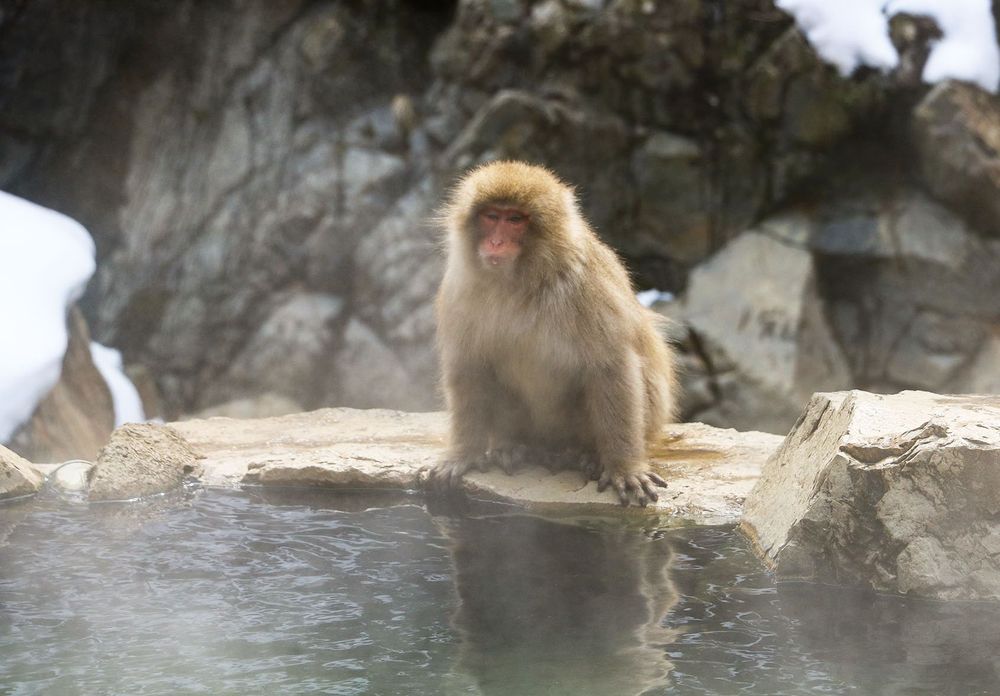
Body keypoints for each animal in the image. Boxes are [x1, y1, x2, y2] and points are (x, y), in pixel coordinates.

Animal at [428, 160, 678, 507]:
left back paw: (587, 455)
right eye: (491, 216)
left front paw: (624, 467)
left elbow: (611, 365)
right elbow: (468, 366)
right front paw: (464, 454)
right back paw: (511, 446)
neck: (519, 282)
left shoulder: (587, 285)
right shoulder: (459, 288)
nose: (495, 243)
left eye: (515, 220)